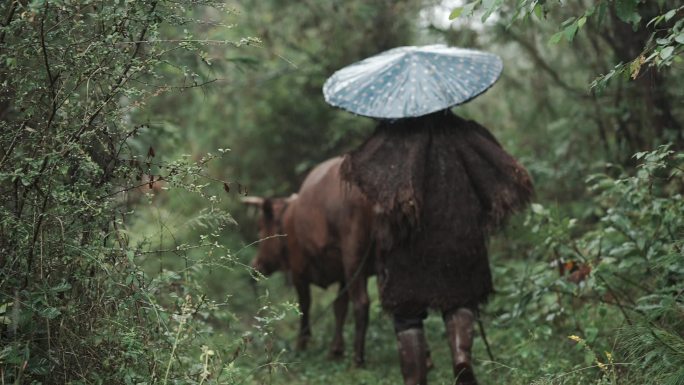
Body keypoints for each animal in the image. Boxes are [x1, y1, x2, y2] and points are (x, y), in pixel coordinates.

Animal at [246, 157, 374, 366]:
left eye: (260, 227)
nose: (256, 264)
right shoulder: (343, 274)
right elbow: (340, 306)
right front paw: (335, 350)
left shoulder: (299, 271)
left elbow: (304, 305)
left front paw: (302, 343)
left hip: (354, 257)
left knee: (361, 302)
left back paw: (358, 359)